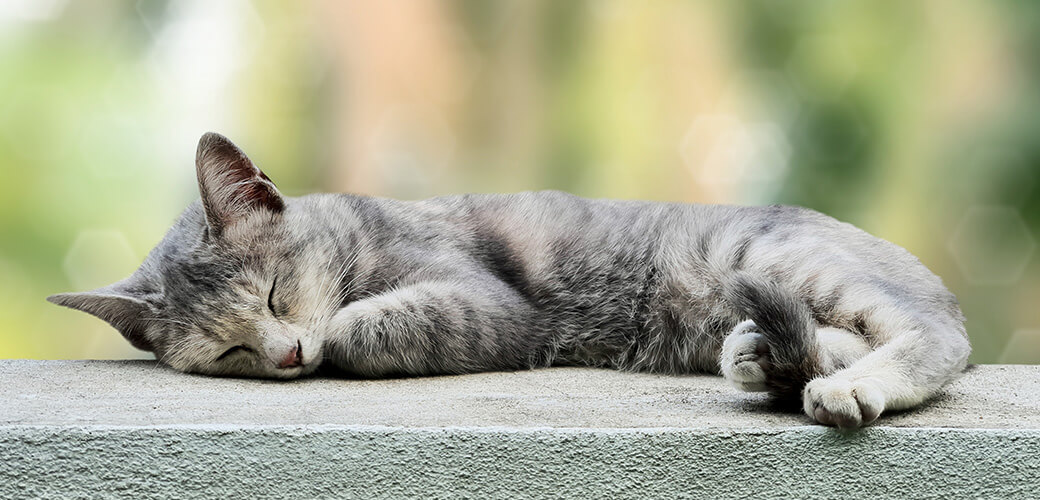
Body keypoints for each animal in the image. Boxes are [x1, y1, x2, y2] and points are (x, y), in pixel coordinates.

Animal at [46, 132, 973, 428]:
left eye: (275, 295)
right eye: (228, 352)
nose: (283, 357)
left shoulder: (487, 302)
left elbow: (361, 322)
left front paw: (338, 332)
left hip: (775, 257)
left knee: (936, 340)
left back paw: (850, 387)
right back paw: (767, 358)